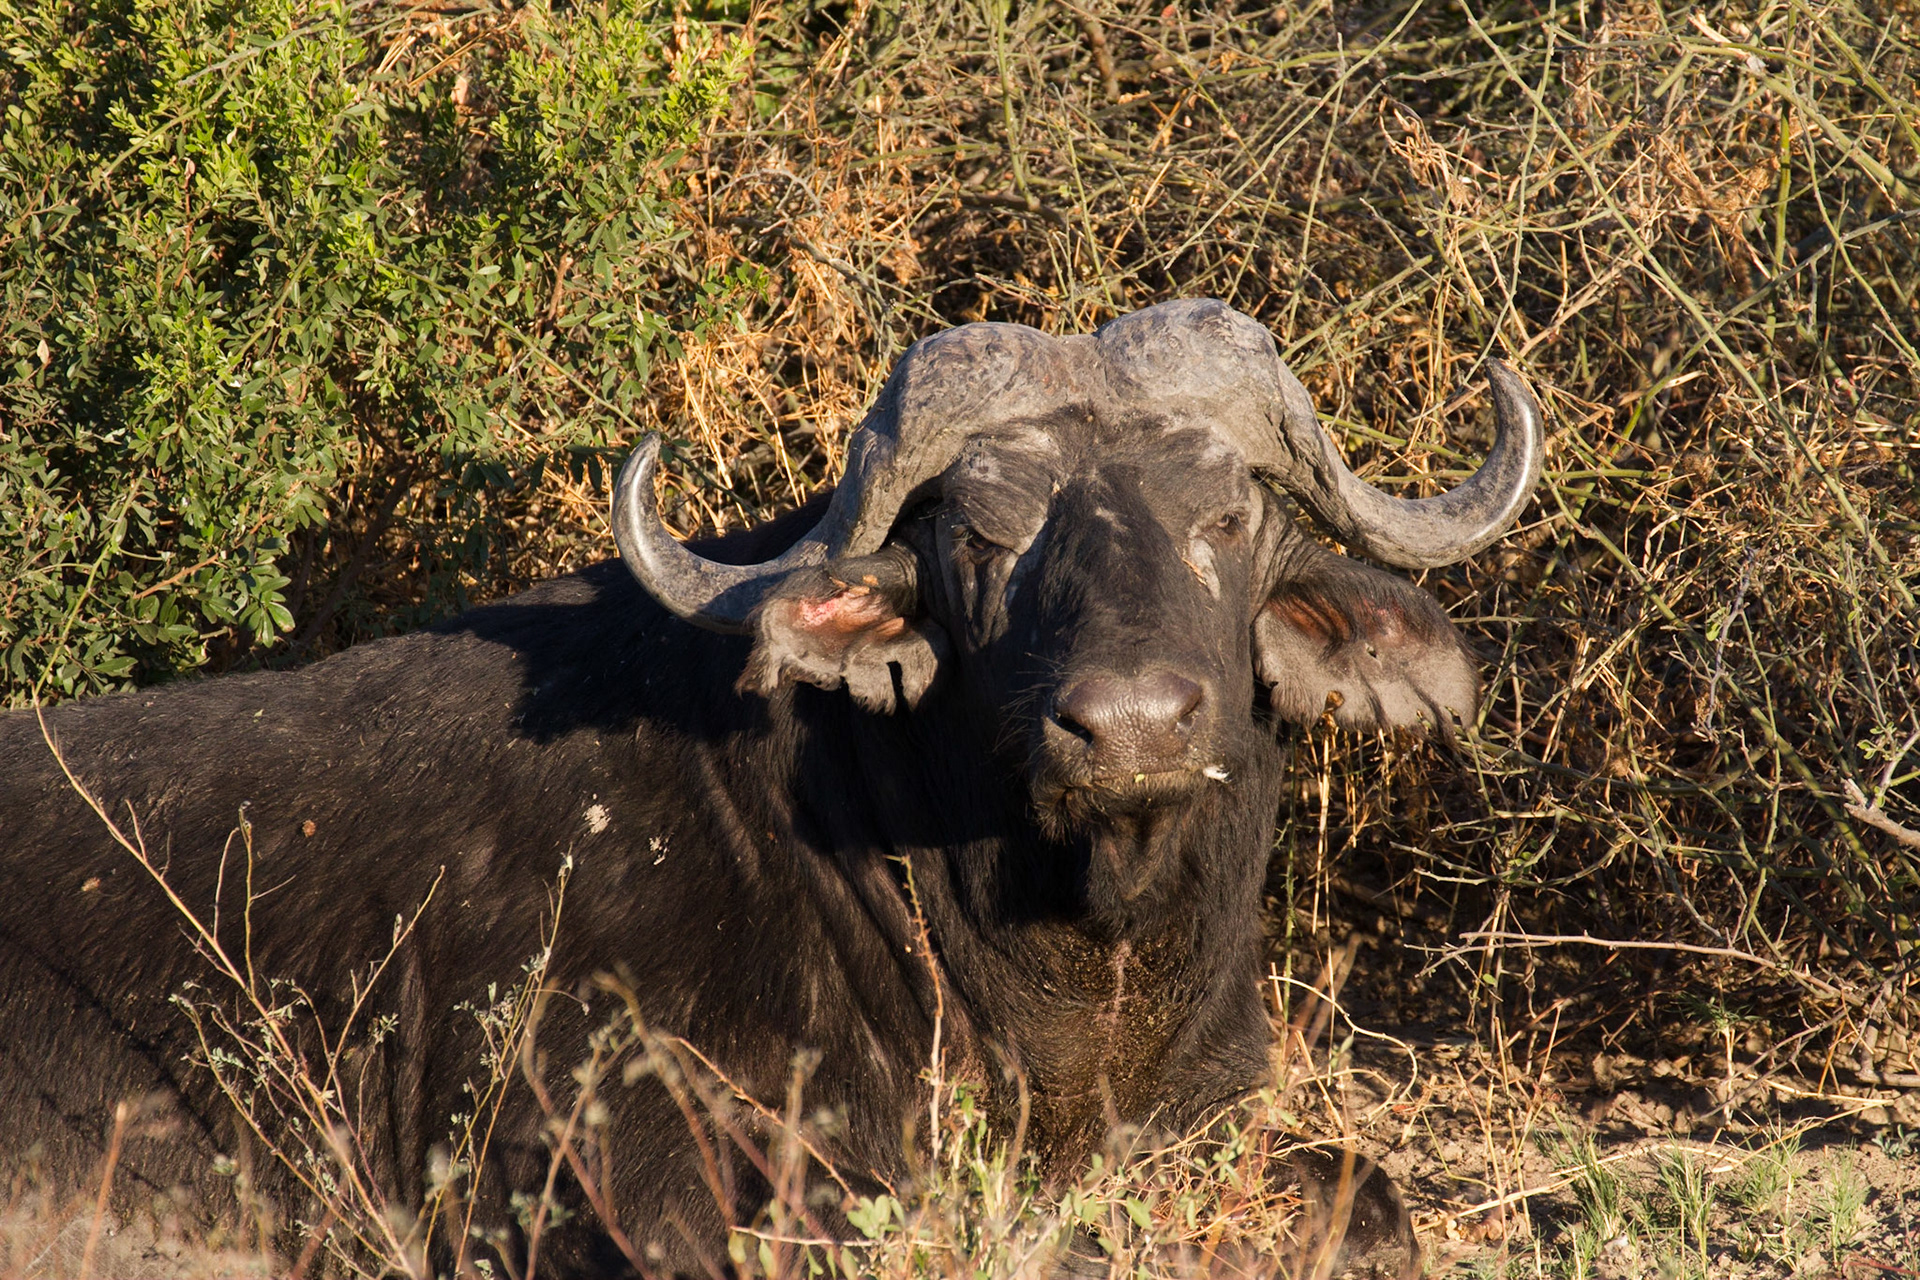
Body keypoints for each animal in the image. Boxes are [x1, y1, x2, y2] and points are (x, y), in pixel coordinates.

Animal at [0, 299, 1542, 1277]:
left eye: (1227, 515)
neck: (1070, 972)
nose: (1132, 726)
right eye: (982, 538)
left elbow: (1370, 1197)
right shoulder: (585, 1167)